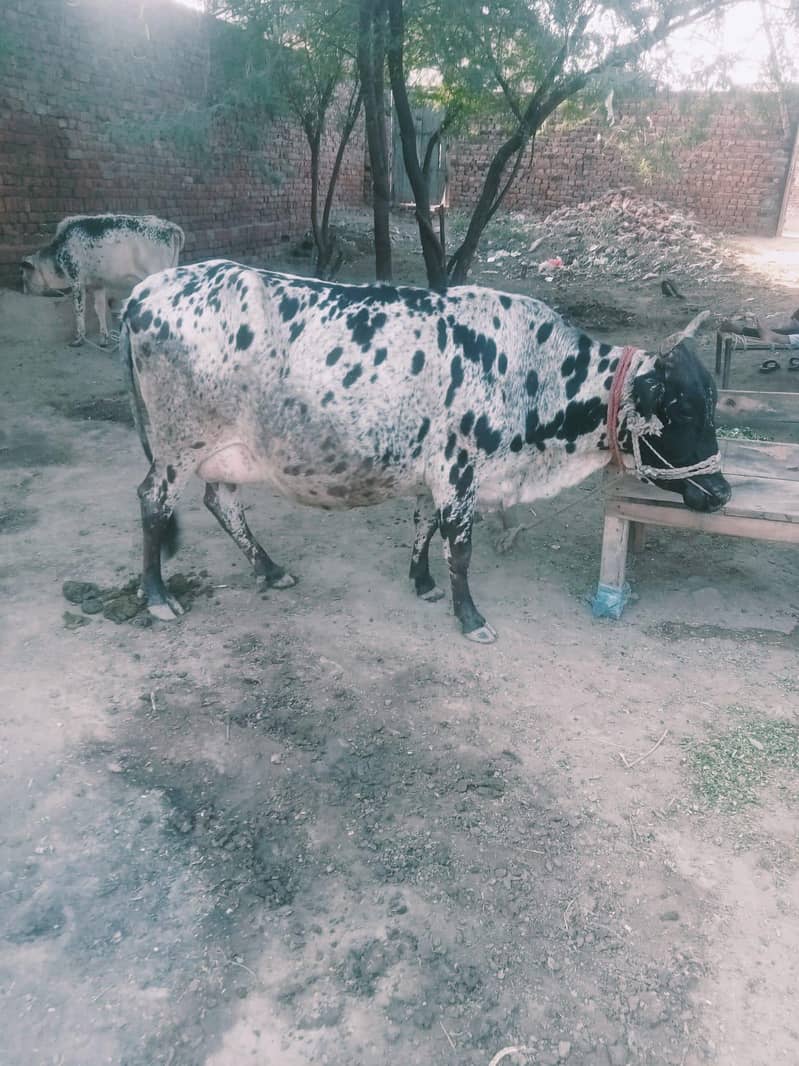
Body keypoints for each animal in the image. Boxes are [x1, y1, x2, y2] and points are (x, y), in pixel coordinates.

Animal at [22, 214, 184, 348]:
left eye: (23, 274)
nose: (24, 291)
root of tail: (169, 226)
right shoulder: (98, 283)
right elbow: (99, 309)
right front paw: (103, 339)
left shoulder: (77, 280)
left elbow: (79, 309)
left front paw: (79, 339)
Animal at [119, 260, 731, 643]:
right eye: (682, 411)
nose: (722, 493)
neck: (531, 371)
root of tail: (143, 293)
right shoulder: (460, 472)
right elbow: (459, 547)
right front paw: (470, 617)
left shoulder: (435, 470)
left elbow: (424, 526)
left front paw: (422, 583)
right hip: (178, 443)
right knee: (153, 501)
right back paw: (157, 596)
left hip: (225, 449)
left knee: (221, 502)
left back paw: (270, 570)